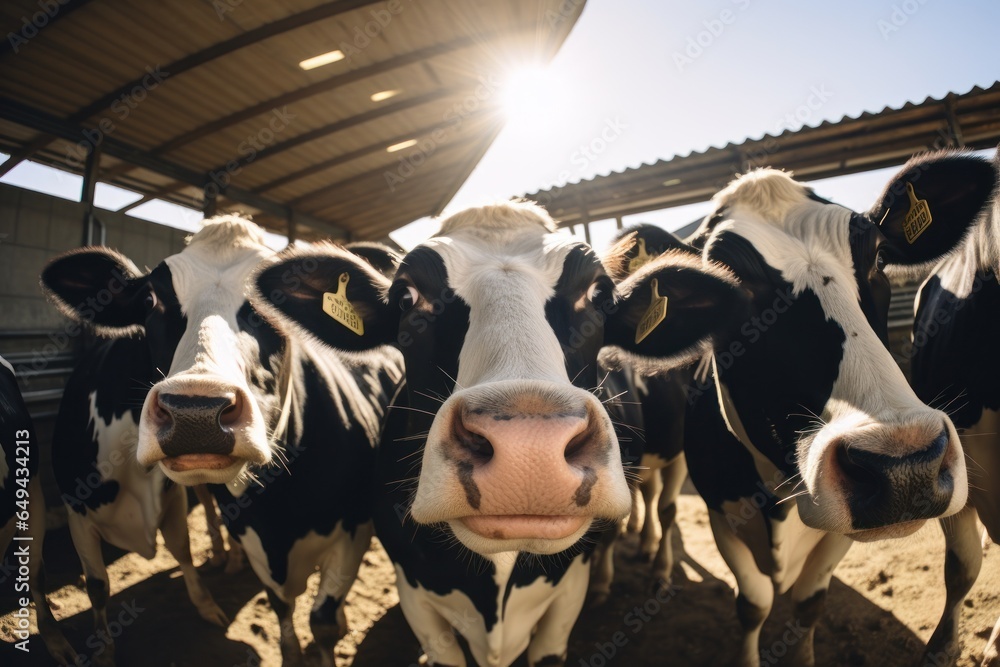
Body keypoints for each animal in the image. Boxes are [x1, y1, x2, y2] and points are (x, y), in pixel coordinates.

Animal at [42, 217, 402, 664]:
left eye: (275, 299)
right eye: (150, 300)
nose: (195, 414)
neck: (280, 508)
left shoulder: (353, 532)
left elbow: (322, 622)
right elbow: (283, 612)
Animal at [250, 201, 752, 664]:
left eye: (598, 294)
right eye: (408, 297)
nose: (528, 450)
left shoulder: (566, 594)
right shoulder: (415, 593)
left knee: (657, 507)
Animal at [676, 151, 996, 667]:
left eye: (879, 257)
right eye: (728, 282)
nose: (905, 466)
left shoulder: (837, 538)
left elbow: (808, 602)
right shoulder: (718, 508)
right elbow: (753, 604)